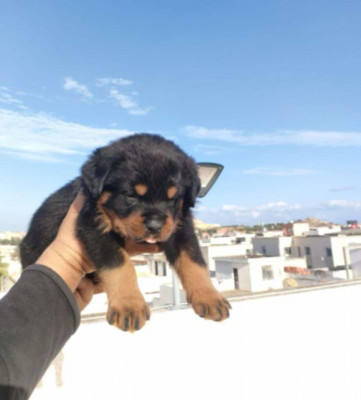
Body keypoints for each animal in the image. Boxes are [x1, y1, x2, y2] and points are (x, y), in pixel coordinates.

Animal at [21, 134, 231, 332]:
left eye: (173, 198)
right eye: (131, 195)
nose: (155, 225)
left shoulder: (180, 227)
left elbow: (194, 261)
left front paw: (210, 297)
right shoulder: (92, 226)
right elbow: (120, 264)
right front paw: (129, 306)